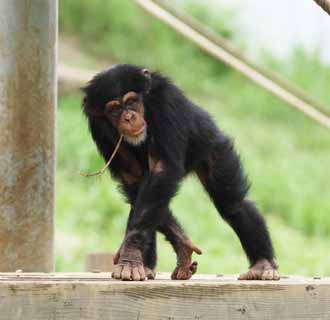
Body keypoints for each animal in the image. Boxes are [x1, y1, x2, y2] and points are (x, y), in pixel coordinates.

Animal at [82, 63, 278, 282]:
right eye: (114, 109)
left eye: (131, 101)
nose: (128, 117)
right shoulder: (98, 124)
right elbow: (135, 180)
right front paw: (181, 247)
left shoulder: (166, 101)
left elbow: (162, 169)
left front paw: (131, 255)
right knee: (141, 199)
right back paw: (147, 266)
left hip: (213, 146)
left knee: (233, 204)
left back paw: (263, 265)